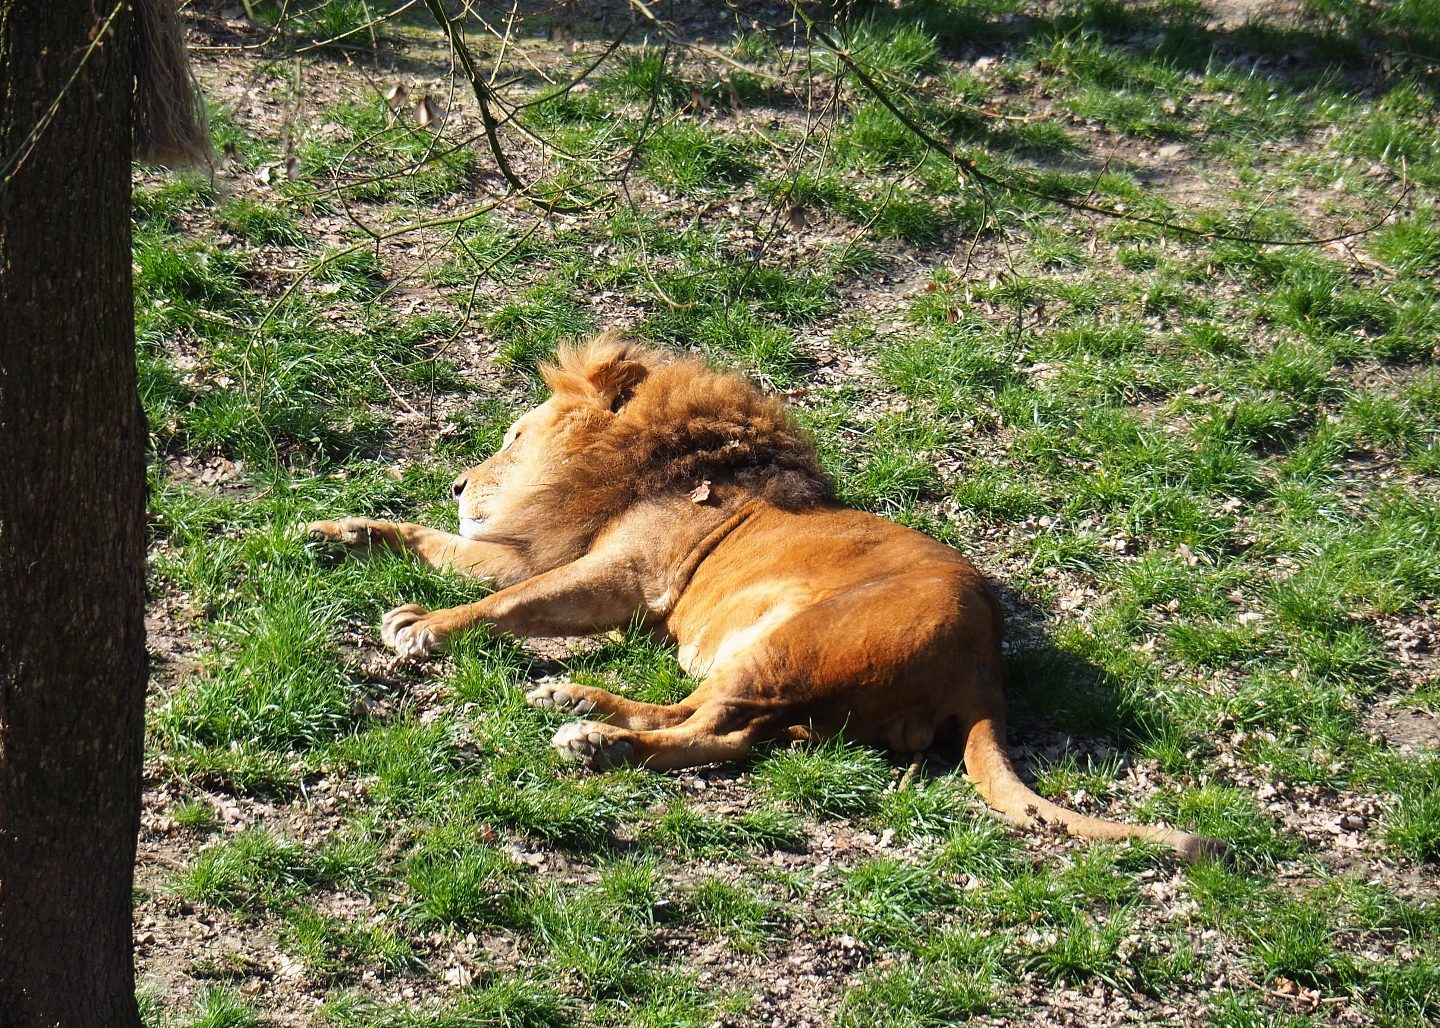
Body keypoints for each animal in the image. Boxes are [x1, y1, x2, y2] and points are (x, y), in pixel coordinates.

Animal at [309, 330, 1221, 861]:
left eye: (514, 437)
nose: (459, 482)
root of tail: (986, 672)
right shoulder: (573, 558)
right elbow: (445, 549)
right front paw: (341, 532)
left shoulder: (619, 574)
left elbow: (505, 602)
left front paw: (423, 625)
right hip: (780, 673)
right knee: (714, 722)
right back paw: (575, 699)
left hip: (795, 643)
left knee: (716, 731)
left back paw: (595, 742)